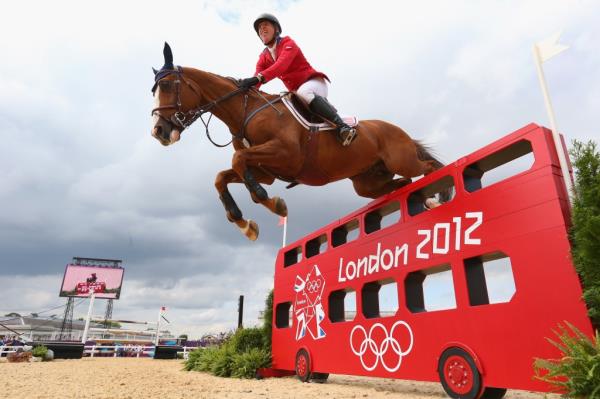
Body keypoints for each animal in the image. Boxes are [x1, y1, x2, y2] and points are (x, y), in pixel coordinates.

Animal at [149, 45, 446, 242]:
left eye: (166, 86)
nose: (158, 131)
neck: (245, 112)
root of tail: (399, 131)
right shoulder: (263, 171)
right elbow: (222, 177)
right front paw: (244, 224)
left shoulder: (284, 154)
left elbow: (239, 163)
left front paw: (273, 204)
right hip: (367, 184)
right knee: (402, 184)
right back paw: (425, 200)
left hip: (402, 160)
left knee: (430, 168)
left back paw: (439, 198)